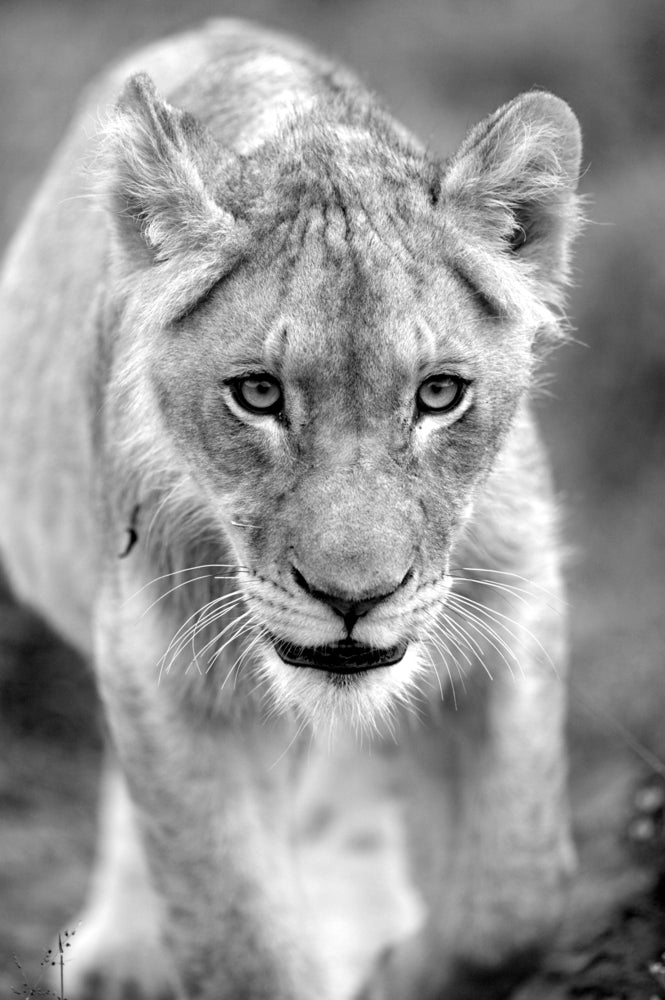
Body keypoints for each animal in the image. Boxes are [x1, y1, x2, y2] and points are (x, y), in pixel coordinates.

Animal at [0, 18, 582, 1000]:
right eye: (258, 394)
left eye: (438, 394)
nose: (354, 599)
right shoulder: (162, 665)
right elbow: (240, 940)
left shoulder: (514, 605)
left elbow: (514, 906)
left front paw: (396, 971)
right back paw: (127, 954)